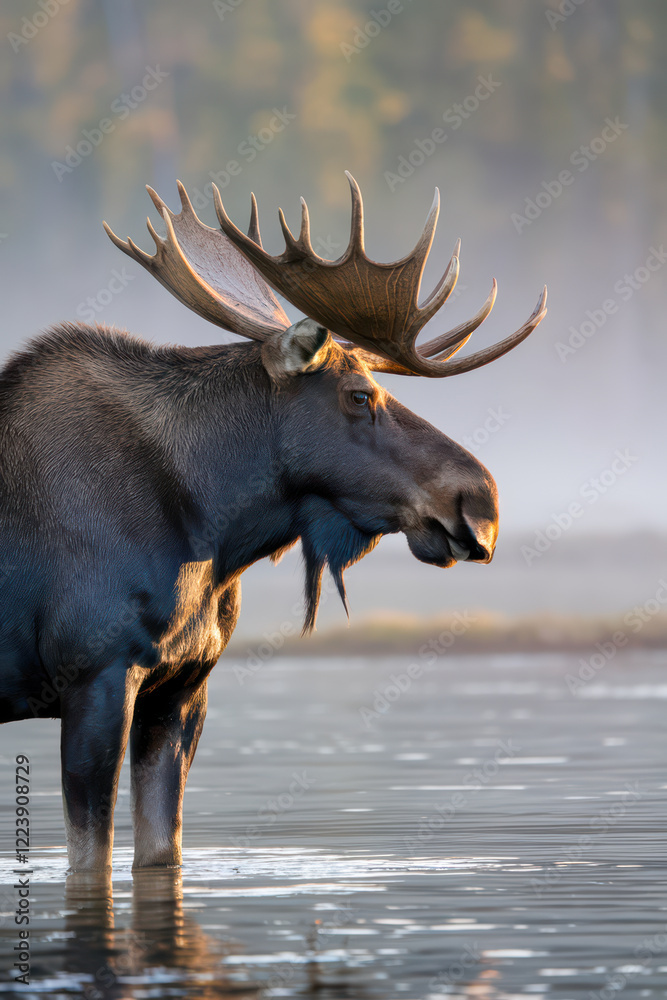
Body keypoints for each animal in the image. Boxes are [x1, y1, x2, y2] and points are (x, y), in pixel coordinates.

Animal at [0, 173, 546, 870]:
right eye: (360, 395)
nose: (482, 504)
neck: (210, 532)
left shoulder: (183, 686)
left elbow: (162, 848)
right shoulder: (95, 673)